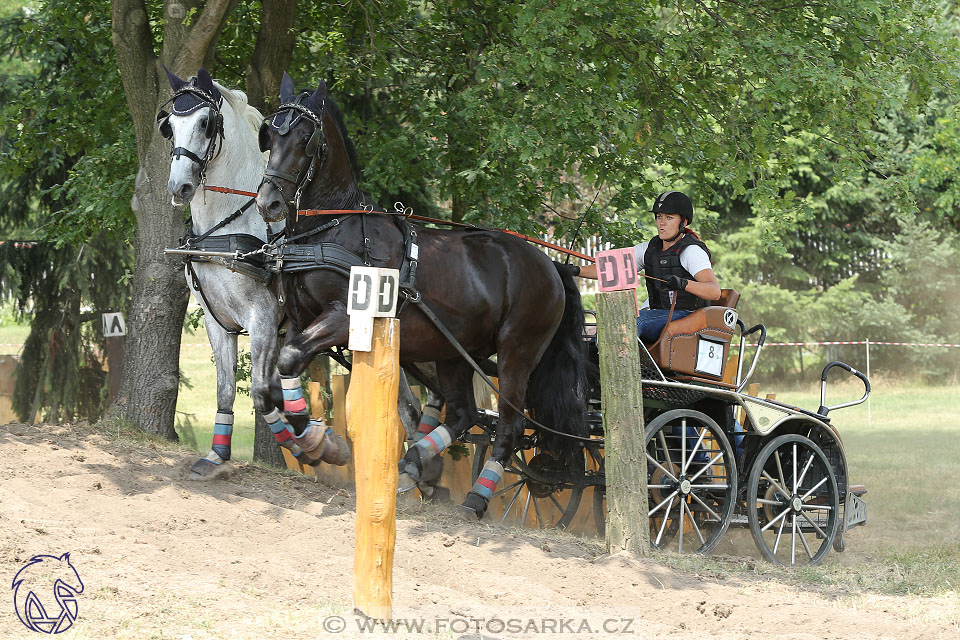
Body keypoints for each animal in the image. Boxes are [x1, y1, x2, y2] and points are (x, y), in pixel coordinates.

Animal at [255, 74, 584, 520]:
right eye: (270, 135)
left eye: (307, 138)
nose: (268, 202)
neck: (332, 228)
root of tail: (552, 266)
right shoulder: (303, 320)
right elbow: (272, 382)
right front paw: (312, 442)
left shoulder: (344, 318)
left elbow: (288, 361)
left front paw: (314, 440)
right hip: (454, 351)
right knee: (463, 413)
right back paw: (413, 466)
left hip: (517, 354)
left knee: (511, 424)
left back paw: (476, 497)